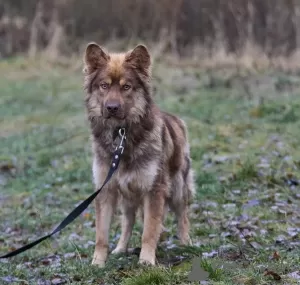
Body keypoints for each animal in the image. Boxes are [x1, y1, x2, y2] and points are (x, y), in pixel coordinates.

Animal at [82, 42, 195, 266]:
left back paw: (186, 243)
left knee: (182, 215)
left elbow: (149, 230)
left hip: (178, 187)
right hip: (128, 195)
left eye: (126, 87)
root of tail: (176, 119)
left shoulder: (154, 190)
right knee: (128, 221)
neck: (121, 135)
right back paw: (120, 249)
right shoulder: (106, 190)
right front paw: (98, 263)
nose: (112, 108)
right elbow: (101, 234)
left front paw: (147, 261)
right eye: (104, 86)